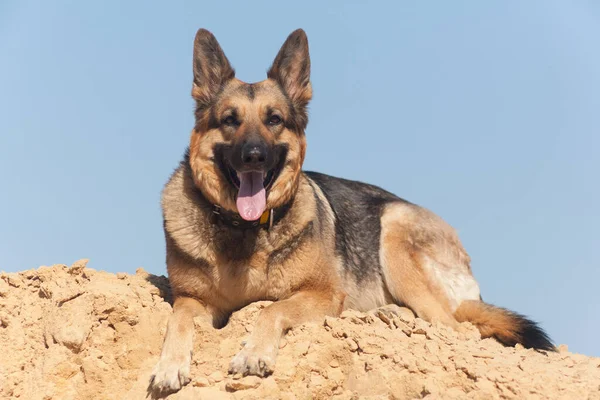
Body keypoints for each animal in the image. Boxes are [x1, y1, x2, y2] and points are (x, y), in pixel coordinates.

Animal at [148, 27, 552, 394]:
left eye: (274, 119)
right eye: (230, 119)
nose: (254, 156)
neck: (243, 229)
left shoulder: (323, 295)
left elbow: (270, 309)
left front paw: (253, 353)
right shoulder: (193, 299)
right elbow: (177, 319)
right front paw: (169, 367)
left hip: (394, 232)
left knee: (452, 327)